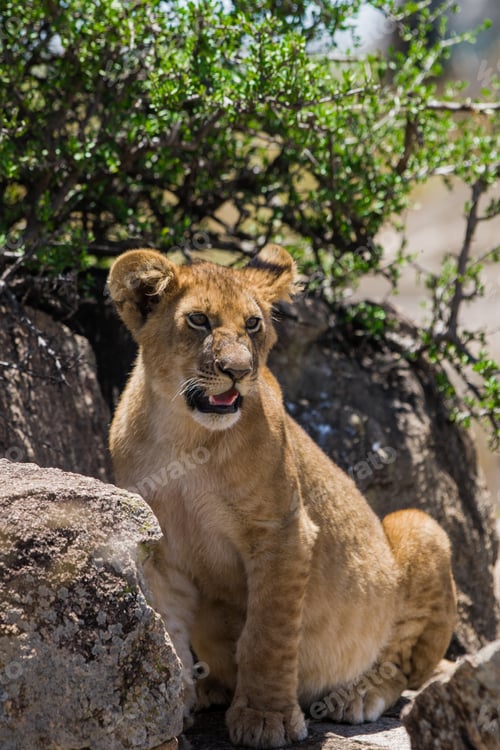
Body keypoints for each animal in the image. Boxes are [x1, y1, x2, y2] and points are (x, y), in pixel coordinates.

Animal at [108, 244, 456, 749]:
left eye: (253, 324)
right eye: (198, 320)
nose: (237, 371)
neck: (184, 437)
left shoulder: (283, 532)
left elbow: (267, 634)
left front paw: (264, 717)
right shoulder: (158, 548)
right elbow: (169, 627)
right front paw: (171, 706)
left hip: (418, 525)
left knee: (404, 665)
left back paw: (356, 694)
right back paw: (211, 688)